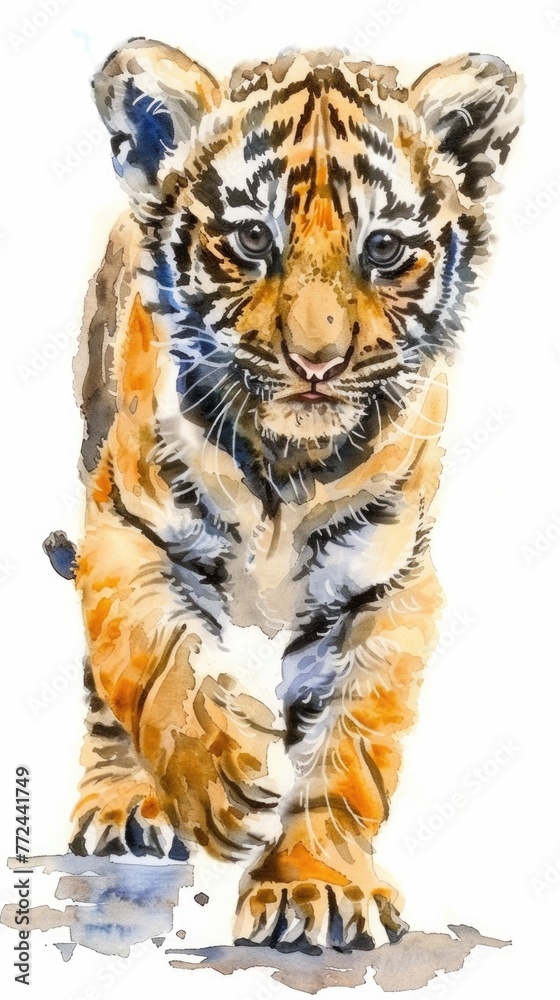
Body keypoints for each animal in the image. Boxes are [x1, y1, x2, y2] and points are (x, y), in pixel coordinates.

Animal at [61, 39, 522, 952]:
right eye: (249, 237)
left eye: (384, 249)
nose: (317, 362)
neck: (288, 463)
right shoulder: (127, 527)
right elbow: (153, 659)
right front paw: (225, 776)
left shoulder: (385, 584)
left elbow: (350, 741)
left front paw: (319, 887)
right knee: (105, 683)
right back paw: (123, 803)